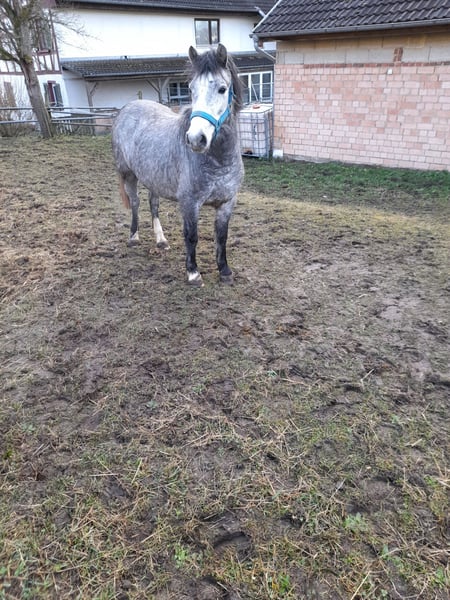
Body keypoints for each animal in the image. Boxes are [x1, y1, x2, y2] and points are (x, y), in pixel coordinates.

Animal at [111, 43, 244, 286]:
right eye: (190, 89)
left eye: (222, 89)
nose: (195, 139)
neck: (218, 162)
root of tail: (128, 107)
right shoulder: (189, 203)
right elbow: (191, 236)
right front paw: (193, 273)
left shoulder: (227, 202)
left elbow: (221, 236)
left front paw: (225, 271)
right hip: (128, 175)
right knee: (135, 203)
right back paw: (133, 237)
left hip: (153, 178)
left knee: (153, 204)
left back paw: (161, 240)